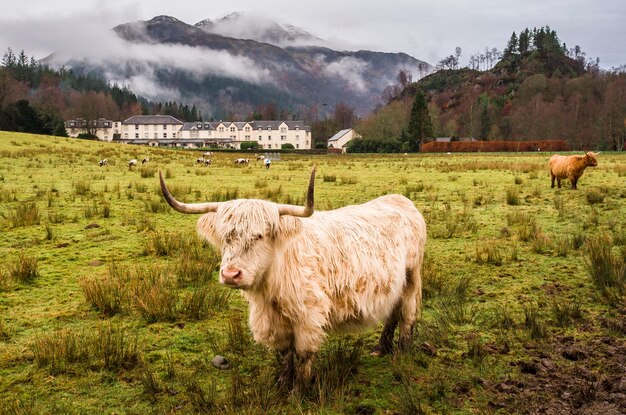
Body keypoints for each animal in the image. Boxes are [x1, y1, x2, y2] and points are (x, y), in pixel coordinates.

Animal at [158, 167, 426, 388]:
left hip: (412, 276)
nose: (231, 274)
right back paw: (381, 348)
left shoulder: (308, 314)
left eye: (259, 236)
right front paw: (282, 384)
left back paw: (401, 353)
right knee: (393, 310)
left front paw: (301, 390)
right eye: (226, 237)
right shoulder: (275, 320)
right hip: (395, 282)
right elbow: (285, 351)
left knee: (407, 313)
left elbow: (303, 354)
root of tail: (400, 200)